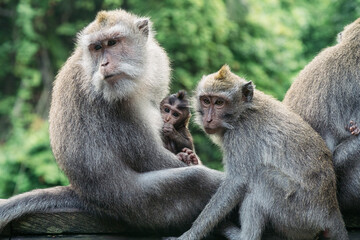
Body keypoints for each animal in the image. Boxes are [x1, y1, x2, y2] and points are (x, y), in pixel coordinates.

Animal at [0, 8, 224, 232]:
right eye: (97, 47)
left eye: (113, 43)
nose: (104, 63)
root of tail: (83, 194)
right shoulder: (116, 105)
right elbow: (150, 157)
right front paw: (190, 161)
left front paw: (188, 153)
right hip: (139, 202)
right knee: (194, 180)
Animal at [169, 65, 348, 240]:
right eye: (206, 101)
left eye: (219, 102)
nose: (208, 119)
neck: (241, 113)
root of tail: (330, 210)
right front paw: (189, 158)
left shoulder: (239, 136)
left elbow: (236, 182)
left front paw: (190, 234)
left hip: (298, 214)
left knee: (261, 177)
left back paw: (244, 236)